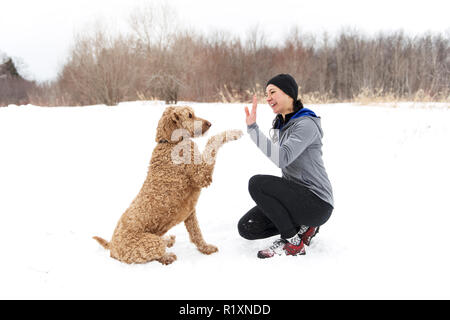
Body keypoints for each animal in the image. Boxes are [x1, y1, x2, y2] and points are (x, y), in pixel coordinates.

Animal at [93, 106, 244, 264]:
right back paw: (167, 256)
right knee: (155, 253)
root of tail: (112, 246)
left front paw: (205, 248)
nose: (209, 124)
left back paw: (168, 239)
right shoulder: (201, 174)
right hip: (149, 243)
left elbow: (196, 233)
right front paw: (233, 133)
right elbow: (213, 140)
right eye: (189, 115)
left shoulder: (190, 212)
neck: (170, 142)